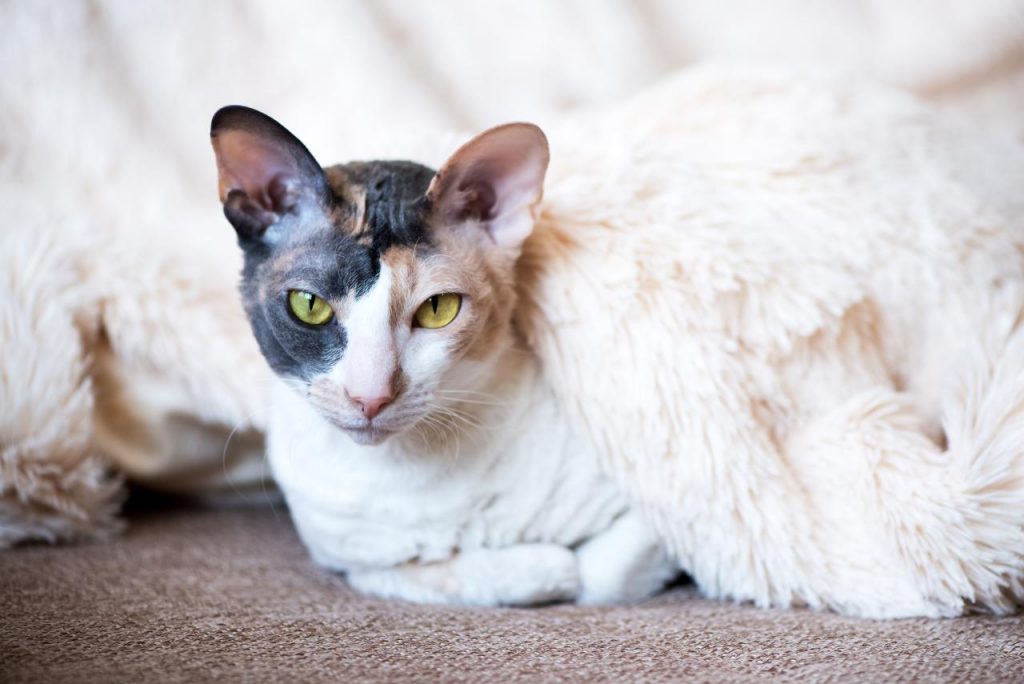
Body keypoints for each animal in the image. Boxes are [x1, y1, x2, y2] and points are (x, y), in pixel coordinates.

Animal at [210, 105, 675, 602]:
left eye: (438, 309)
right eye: (309, 305)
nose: (370, 397)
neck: (403, 476)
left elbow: (600, 578)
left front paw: (551, 566)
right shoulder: (351, 558)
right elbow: (427, 575)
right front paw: (534, 565)